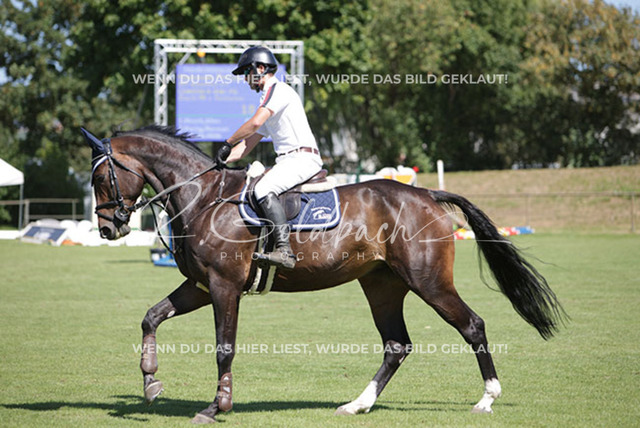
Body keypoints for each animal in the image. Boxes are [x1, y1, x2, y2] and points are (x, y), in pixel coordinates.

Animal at [82, 125, 565, 424]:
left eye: (102, 180)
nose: (108, 229)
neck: (202, 196)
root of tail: (427, 194)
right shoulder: (200, 286)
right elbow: (151, 317)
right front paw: (151, 382)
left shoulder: (224, 287)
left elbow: (224, 348)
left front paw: (217, 406)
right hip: (382, 285)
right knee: (397, 345)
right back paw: (358, 405)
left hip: (429, 282)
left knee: (472, 326)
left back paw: (487, 398)